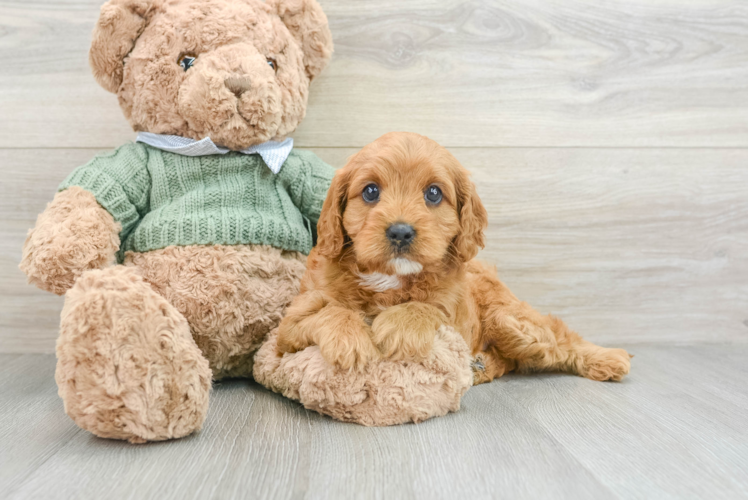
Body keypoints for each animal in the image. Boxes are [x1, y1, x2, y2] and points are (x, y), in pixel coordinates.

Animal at [278, 133, 628, 382]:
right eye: (370, 191)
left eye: (433, 193)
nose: (401, 232)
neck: (390, 278)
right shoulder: (289, 327)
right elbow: (328, 312)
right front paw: (349, 339)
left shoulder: (452, 313)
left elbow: (428, 307)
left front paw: (399, 325)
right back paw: (481, 366)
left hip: (510, 321)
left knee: (557, 340)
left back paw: (609, 358)